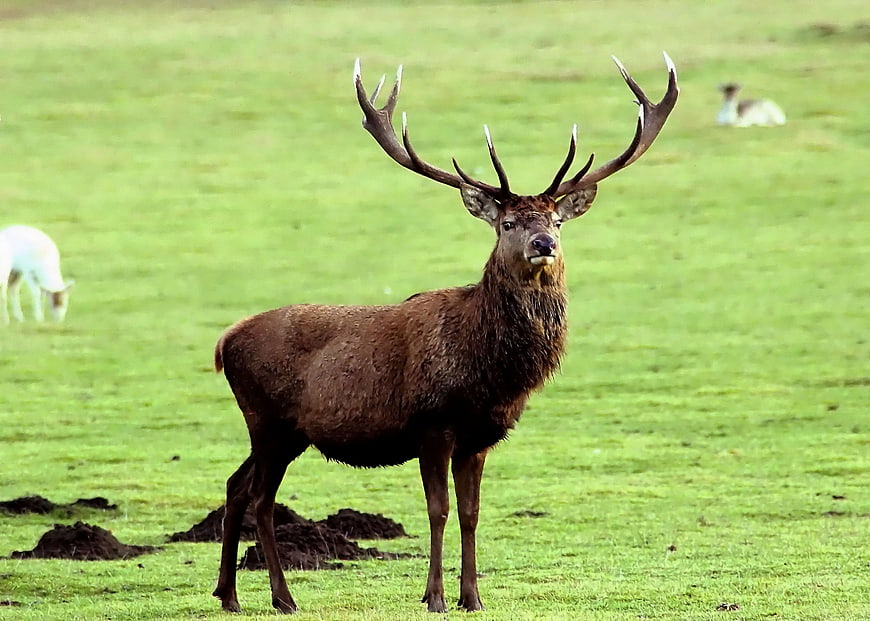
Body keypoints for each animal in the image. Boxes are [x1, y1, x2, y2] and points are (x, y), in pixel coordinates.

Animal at [211, 53, 678, 615]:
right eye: (507, 223)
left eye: (557, 222)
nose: (543, 244)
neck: (490, 374)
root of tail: (224, 342)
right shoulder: (432, 424)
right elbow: (438, 511)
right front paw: (433, 596)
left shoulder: (481, 436)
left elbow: (472, 513)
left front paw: (472, 596)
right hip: (269, 420)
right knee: (261, 497)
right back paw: (282, 598)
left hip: (281, 430)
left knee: (236, 485)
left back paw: (229, 595)